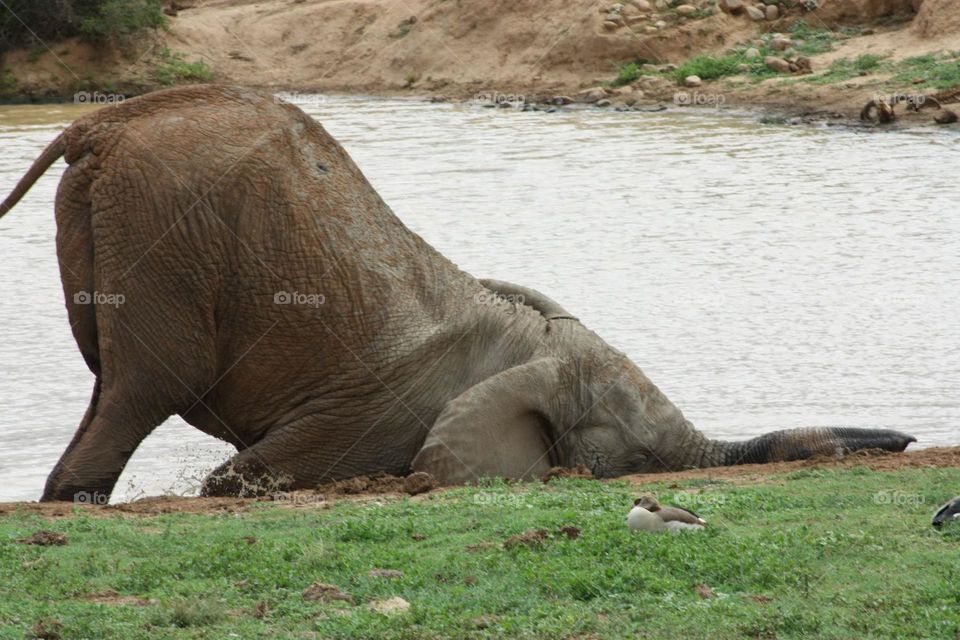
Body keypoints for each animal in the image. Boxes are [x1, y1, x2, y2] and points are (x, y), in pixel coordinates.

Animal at [0, 85, 916, 501]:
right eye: (634, 455)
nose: (906, 442)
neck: (529, 347)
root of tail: (102, 120)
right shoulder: (374, 420)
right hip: (171, 233)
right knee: (144, 389)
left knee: (108, 384)